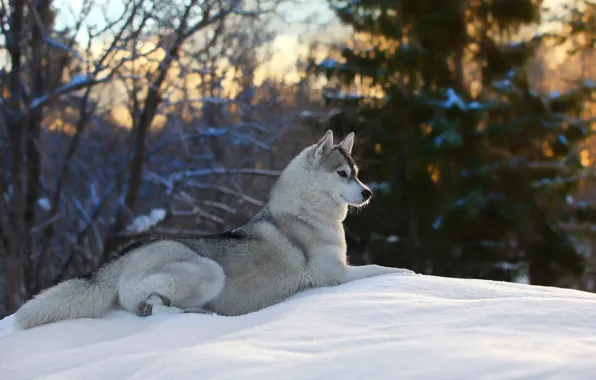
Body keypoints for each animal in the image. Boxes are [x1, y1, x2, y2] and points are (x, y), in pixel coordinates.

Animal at [14, 130, 414, 330]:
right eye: (343, 174)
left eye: (357, 173)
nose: (368, 193)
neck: (307, 212)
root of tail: (122, 258)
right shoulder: (335, 275)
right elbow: (383, 268)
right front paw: (408, 274)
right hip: (208, 271)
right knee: (153, 308)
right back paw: (194, 316)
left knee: (148, 308)